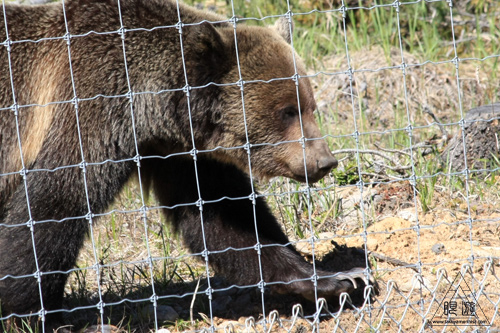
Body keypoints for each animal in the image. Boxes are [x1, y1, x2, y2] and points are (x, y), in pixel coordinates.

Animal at [0, 0, 368, 328]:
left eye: (310, 105)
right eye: (287, 111)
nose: (324, 161)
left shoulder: (177, 154)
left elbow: (222, 216)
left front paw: (338, 278)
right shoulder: (91, 103)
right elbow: (56, 203)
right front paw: (37, 316)